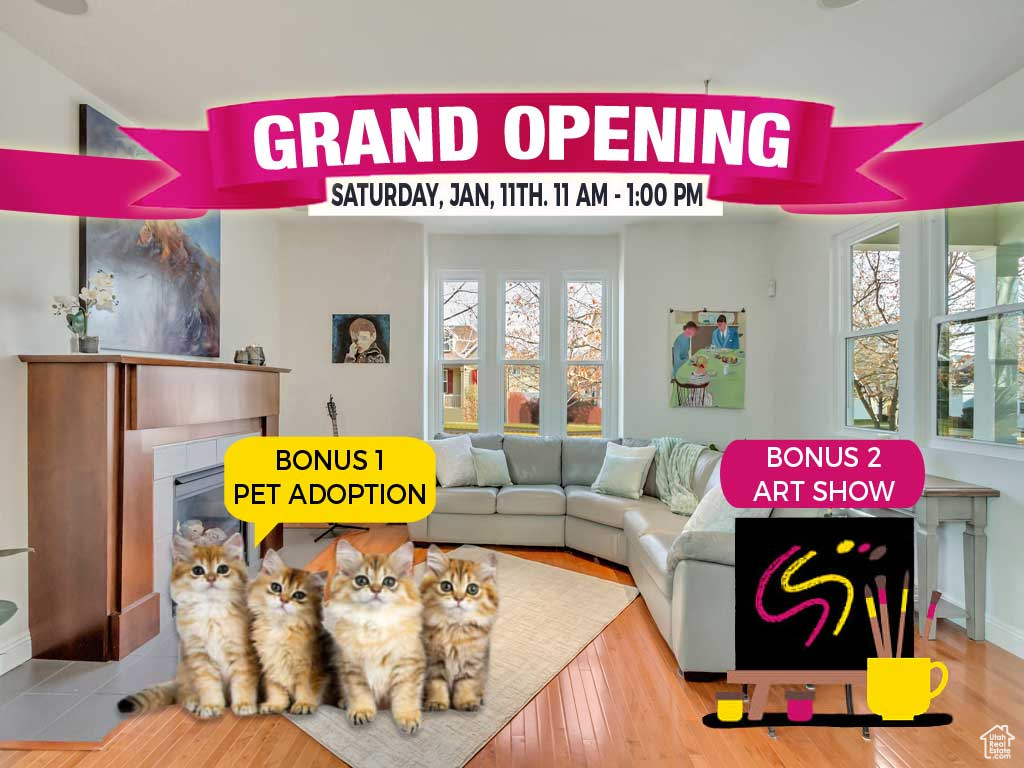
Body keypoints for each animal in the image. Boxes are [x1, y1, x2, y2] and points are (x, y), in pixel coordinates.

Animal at [117, 536, 260, 720]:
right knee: (183, 694)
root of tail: (176, 679)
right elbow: (208, 684)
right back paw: (195, 702)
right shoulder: (198, 654)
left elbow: (242, 681)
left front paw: (244, 705)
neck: (211, 610)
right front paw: (211, 707)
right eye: (198, 570)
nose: (211, 578)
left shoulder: (242, 651)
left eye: (223, 569)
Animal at [245, 548, 329, 716]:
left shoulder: (308, 666)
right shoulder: (269, 664)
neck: (280, 627)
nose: (283, 600)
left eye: (299, 595)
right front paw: (275, 704)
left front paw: (304, 704)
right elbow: (275, 688)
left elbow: (305, 687)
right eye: (276, 587)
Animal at [321, 540, 421, 733]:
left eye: (389, 581)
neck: (374, 622)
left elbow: (405, 693)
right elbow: (359, 692)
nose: (376, 589)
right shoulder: (351, 665)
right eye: (361, 580)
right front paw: (361, 711)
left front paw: (407, 717)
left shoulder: (408, 663)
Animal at [419, 548, 499, 716]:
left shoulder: (472, 662)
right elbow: (436, 684)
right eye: (446, 586)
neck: (454, 628)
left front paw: (465, 702)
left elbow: (465, 684)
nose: (459, 598)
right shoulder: (433, 661)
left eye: (472, 589)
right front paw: (437, 703)